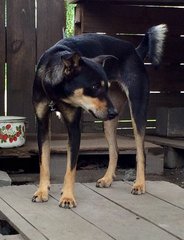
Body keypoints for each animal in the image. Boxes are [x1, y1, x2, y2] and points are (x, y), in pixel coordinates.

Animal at [32, 24, 167, 208]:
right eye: (95, 86)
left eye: (105, 87)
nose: (113, 112)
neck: (55, 90)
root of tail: (135, 51)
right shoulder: (42, 125)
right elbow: (44, 162)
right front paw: (42, 191)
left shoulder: (74, 128)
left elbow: (70, 168)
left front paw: (67, 197)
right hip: (108, 122)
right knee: (115, 150)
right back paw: (108, 179)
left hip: (137, 110)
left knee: (141, 152)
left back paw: (139, 184)